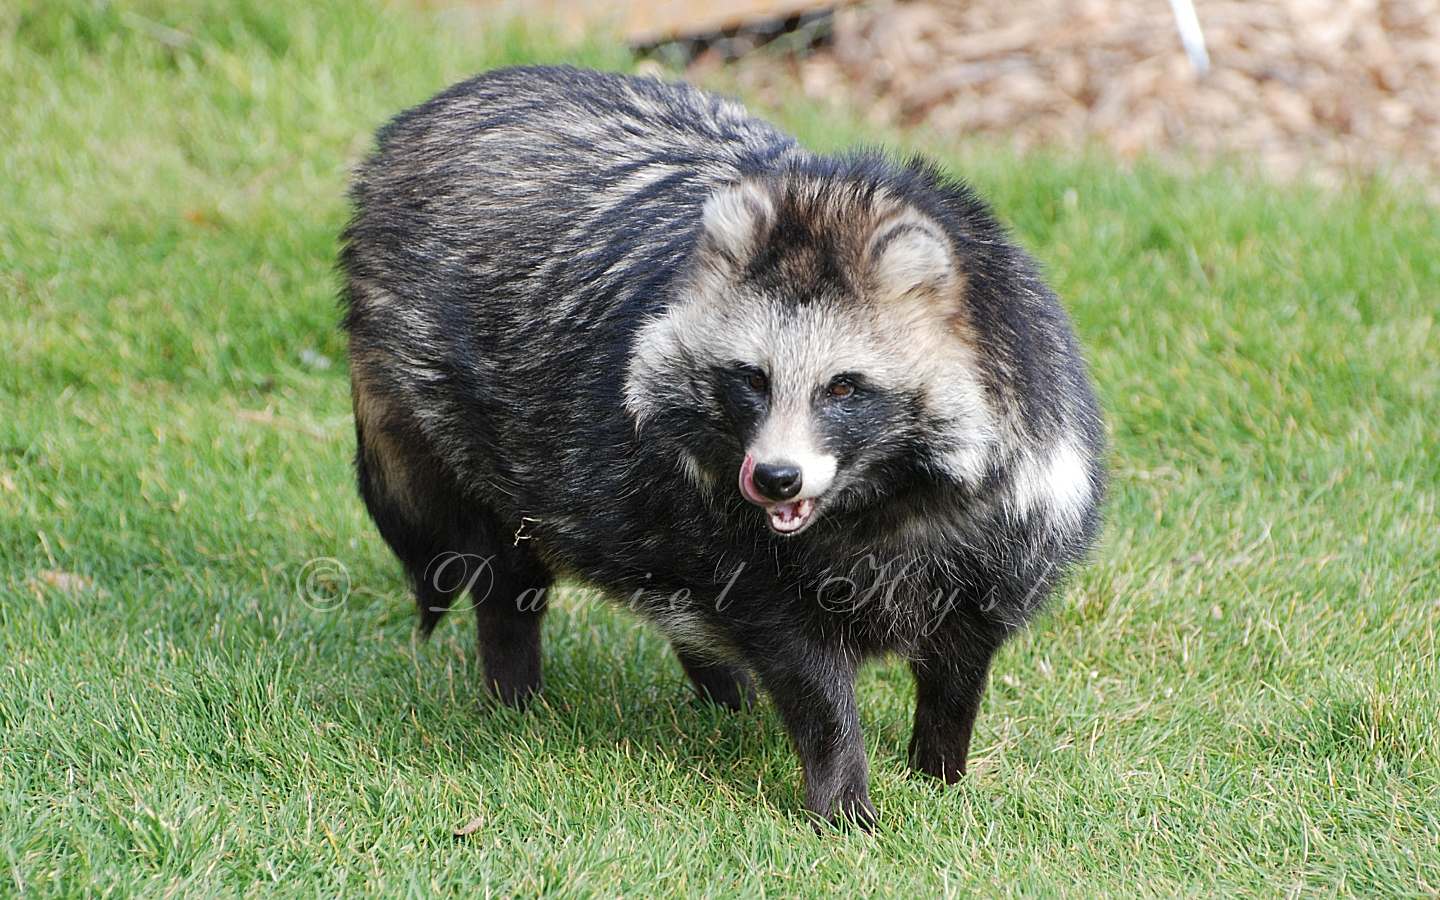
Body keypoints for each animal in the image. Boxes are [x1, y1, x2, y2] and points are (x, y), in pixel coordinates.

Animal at [336, 66, 1100, 829]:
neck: (880, 504)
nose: (776, 478)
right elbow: (808, 674)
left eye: (843, 387)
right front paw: (843, 799)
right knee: (508, 569)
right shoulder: (742, 544)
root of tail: (428, 116)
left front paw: (938, 772)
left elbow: (959, 669)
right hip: (461, 416)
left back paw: (719, 692)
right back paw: (516, 692)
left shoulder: (1006, 527)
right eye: (753, 378)